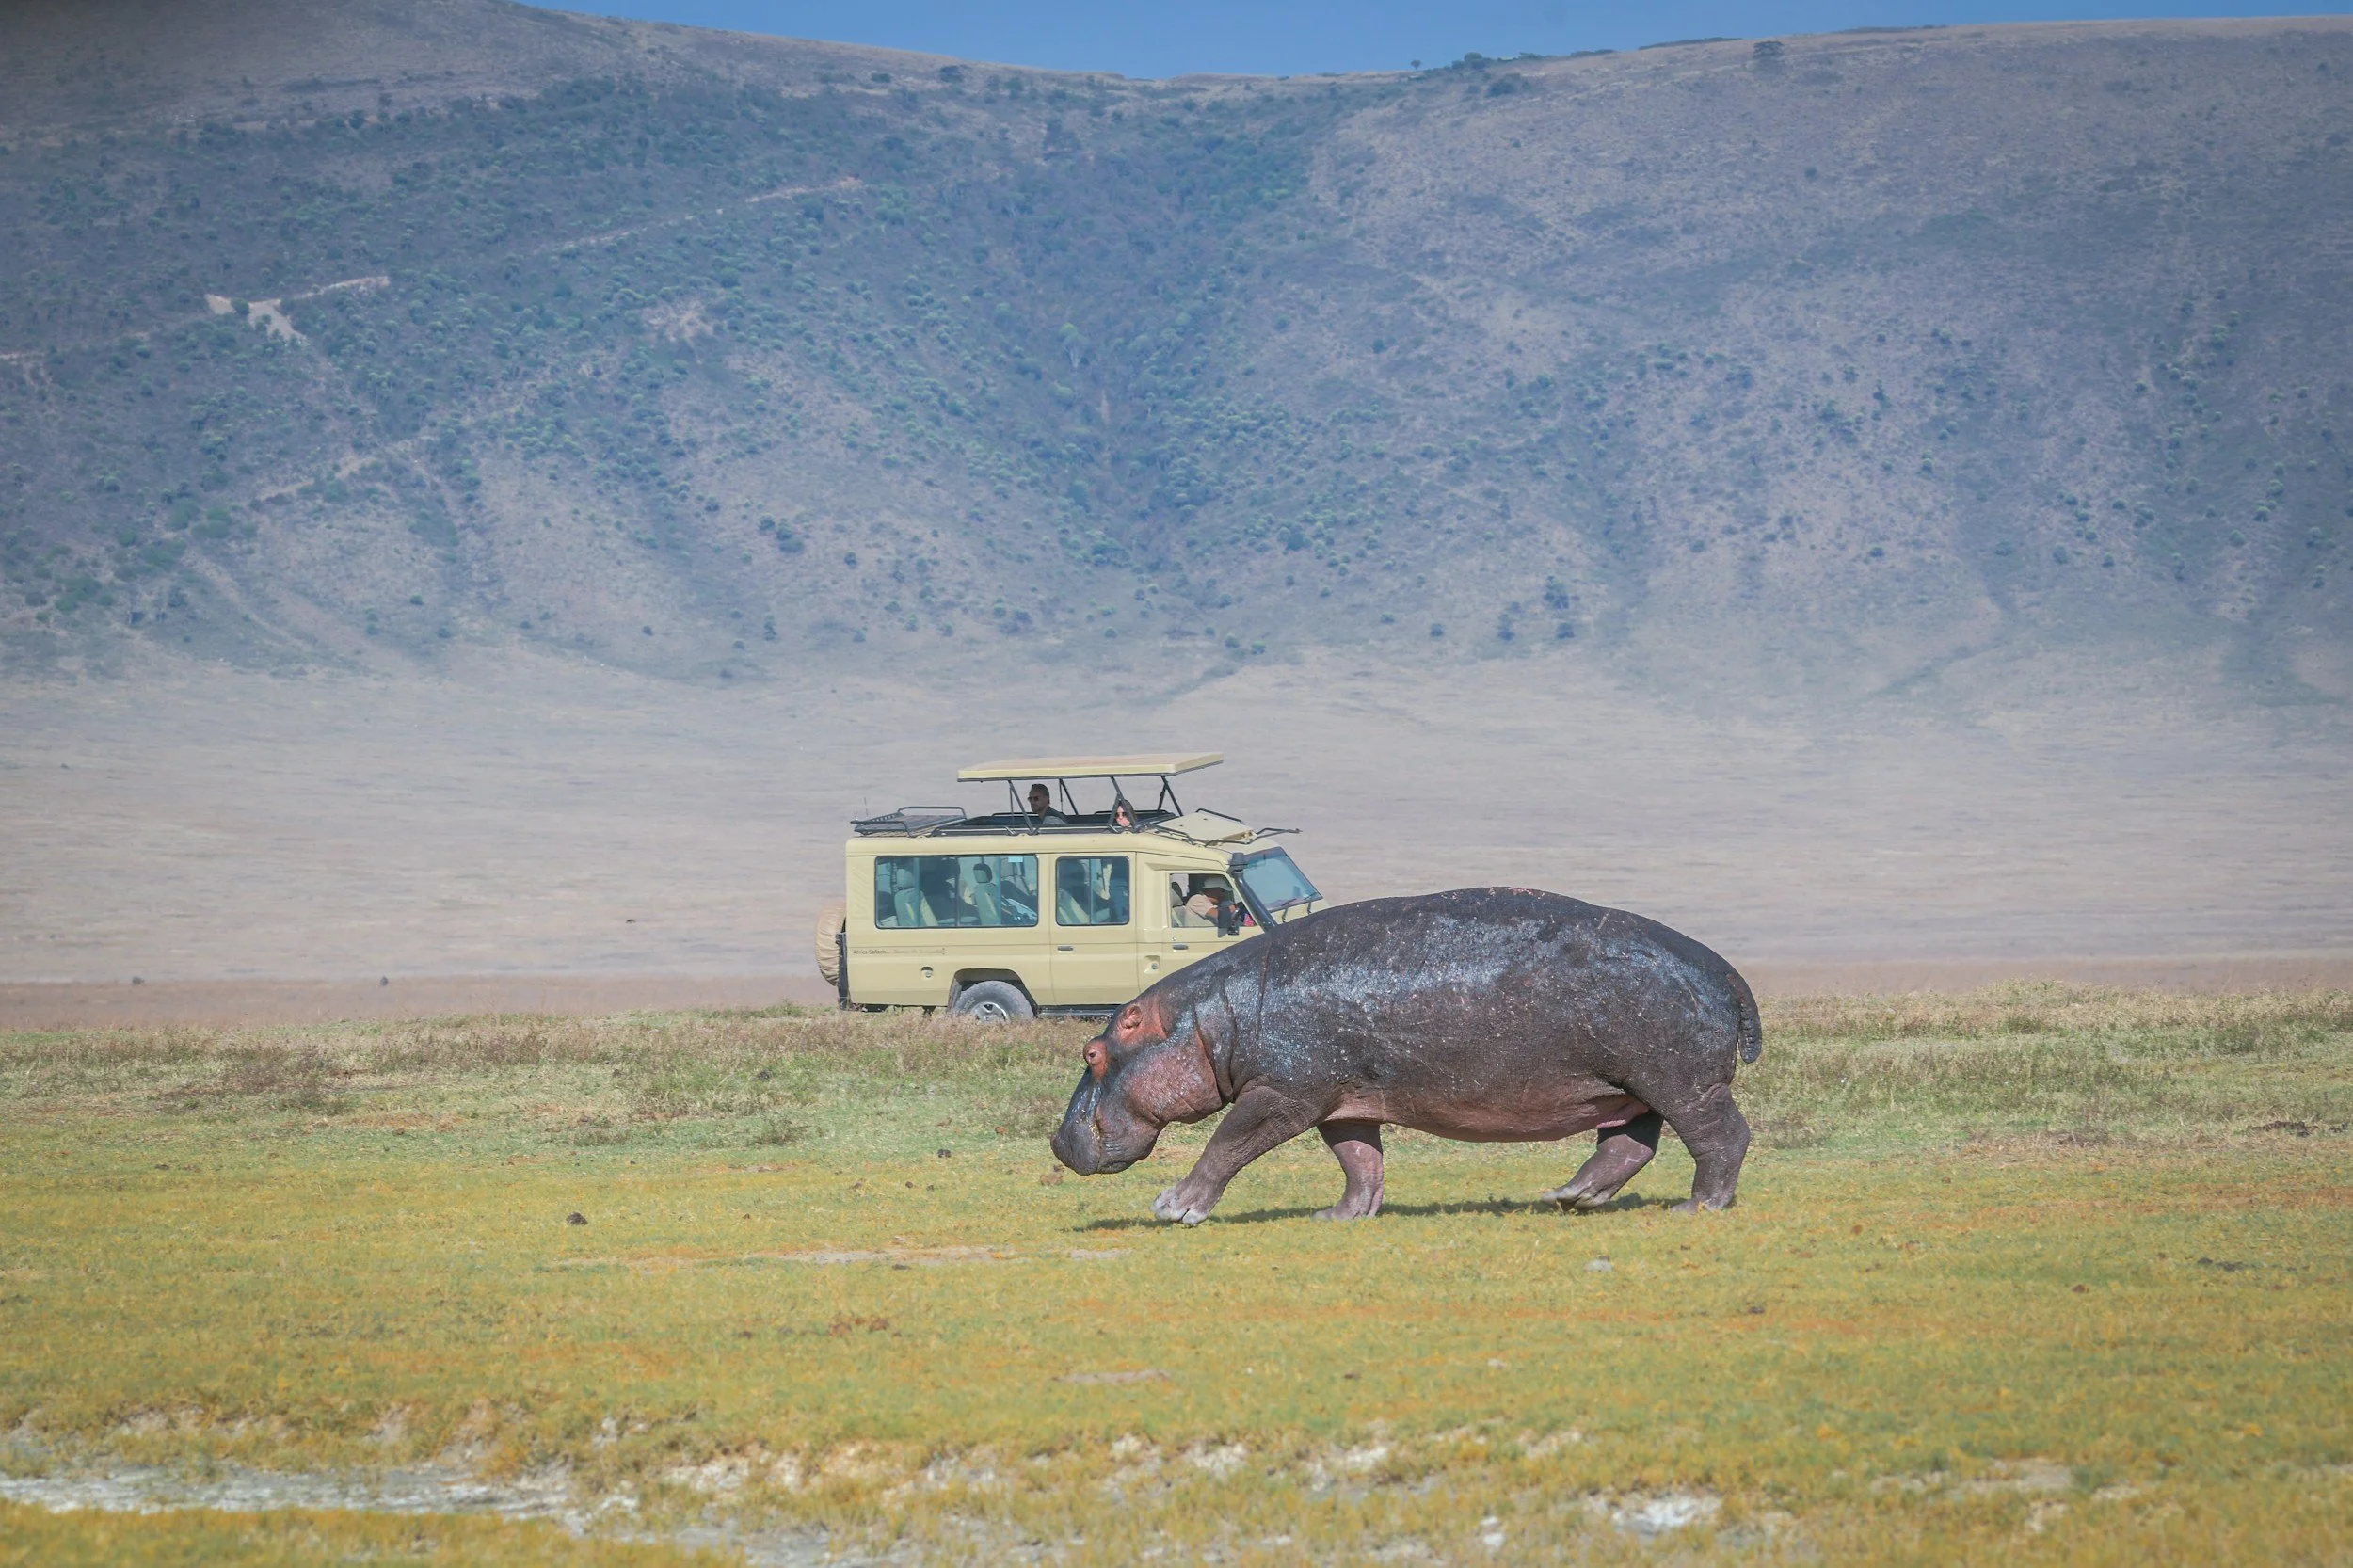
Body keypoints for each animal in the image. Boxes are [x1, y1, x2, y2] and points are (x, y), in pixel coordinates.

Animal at [1050, 888, 1762, 1222]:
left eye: (1092, 1051)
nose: (1057, 1141)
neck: (1211, 1017)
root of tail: (1727, 970)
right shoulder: (1341, 1100)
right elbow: (1358, 1159)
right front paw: (1337, 1216)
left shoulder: (1283, 1093)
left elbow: (1229, 1141)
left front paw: (1174, 1207)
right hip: (1632, 1087)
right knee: (1629, 1143)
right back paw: (1570, 1196)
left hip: (1679, 1081)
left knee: (1721, 1136)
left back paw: (1696, 1207)